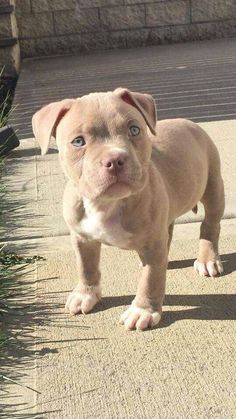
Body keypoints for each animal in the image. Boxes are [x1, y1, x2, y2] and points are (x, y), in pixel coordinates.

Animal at [31, 88, 225, 332]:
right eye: (78, 141)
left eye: (134, 130)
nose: (115, 159)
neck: (106, 203)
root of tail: (189, 122)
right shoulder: (82, 238)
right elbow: (86, 267)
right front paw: (85, 294)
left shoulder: (152, 245)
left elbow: (150, 280)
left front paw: (143, 311)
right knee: (169, 231)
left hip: (213, 185)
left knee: (210, 225)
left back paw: (207, 259)